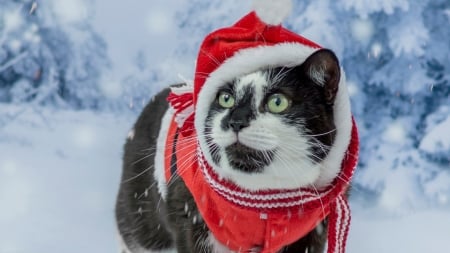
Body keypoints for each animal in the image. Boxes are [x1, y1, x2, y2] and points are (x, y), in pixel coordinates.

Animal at [114, 48, 354, 253]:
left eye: (277, 102)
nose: (236, 121)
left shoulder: (311, 231)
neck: (264, 203)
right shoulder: (191, 217)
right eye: (225, 98)